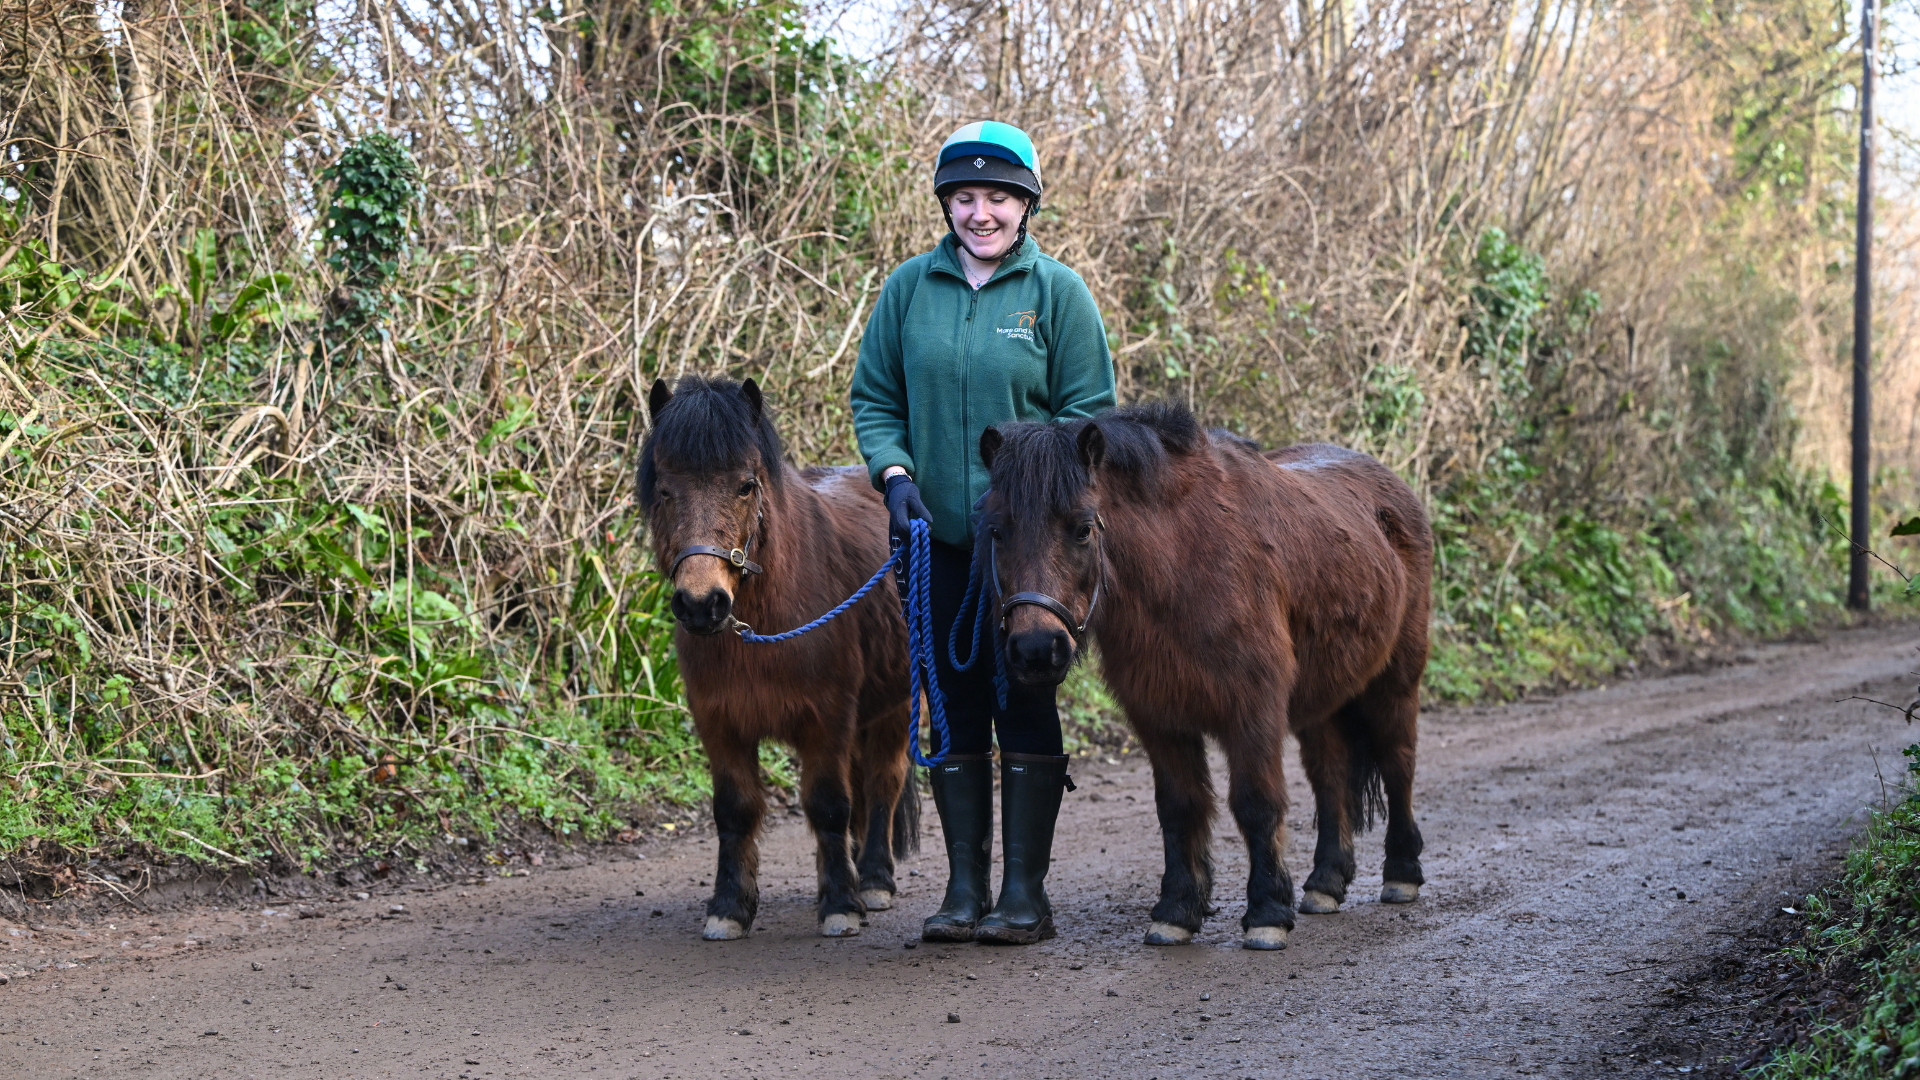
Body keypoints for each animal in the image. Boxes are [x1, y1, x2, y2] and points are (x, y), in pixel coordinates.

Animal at [638, 375, 916, 940]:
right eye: (665, 490)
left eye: (746, 485)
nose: (701, 604)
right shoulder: (719, 722)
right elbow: (734, 811)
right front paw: (729, 907)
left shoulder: (827, 719)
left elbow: (829, 805)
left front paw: (840, 905)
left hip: (896, 706)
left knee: (883, 782)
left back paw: (874, 879)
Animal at [976, 401, 1431, 950]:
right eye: (997, 531)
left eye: (1082, 528)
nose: (1037, 650)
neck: (1185, 562)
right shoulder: (1160, 719)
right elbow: (1180, 807)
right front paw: (1177, 909)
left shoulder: (1252, 711)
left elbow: (1257, 804)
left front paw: (1267, 912)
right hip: (1321, 700)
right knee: (1330, 774)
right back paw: (1325, 881)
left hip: (1395, 682)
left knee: (1398, 762)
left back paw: (1402, 873)